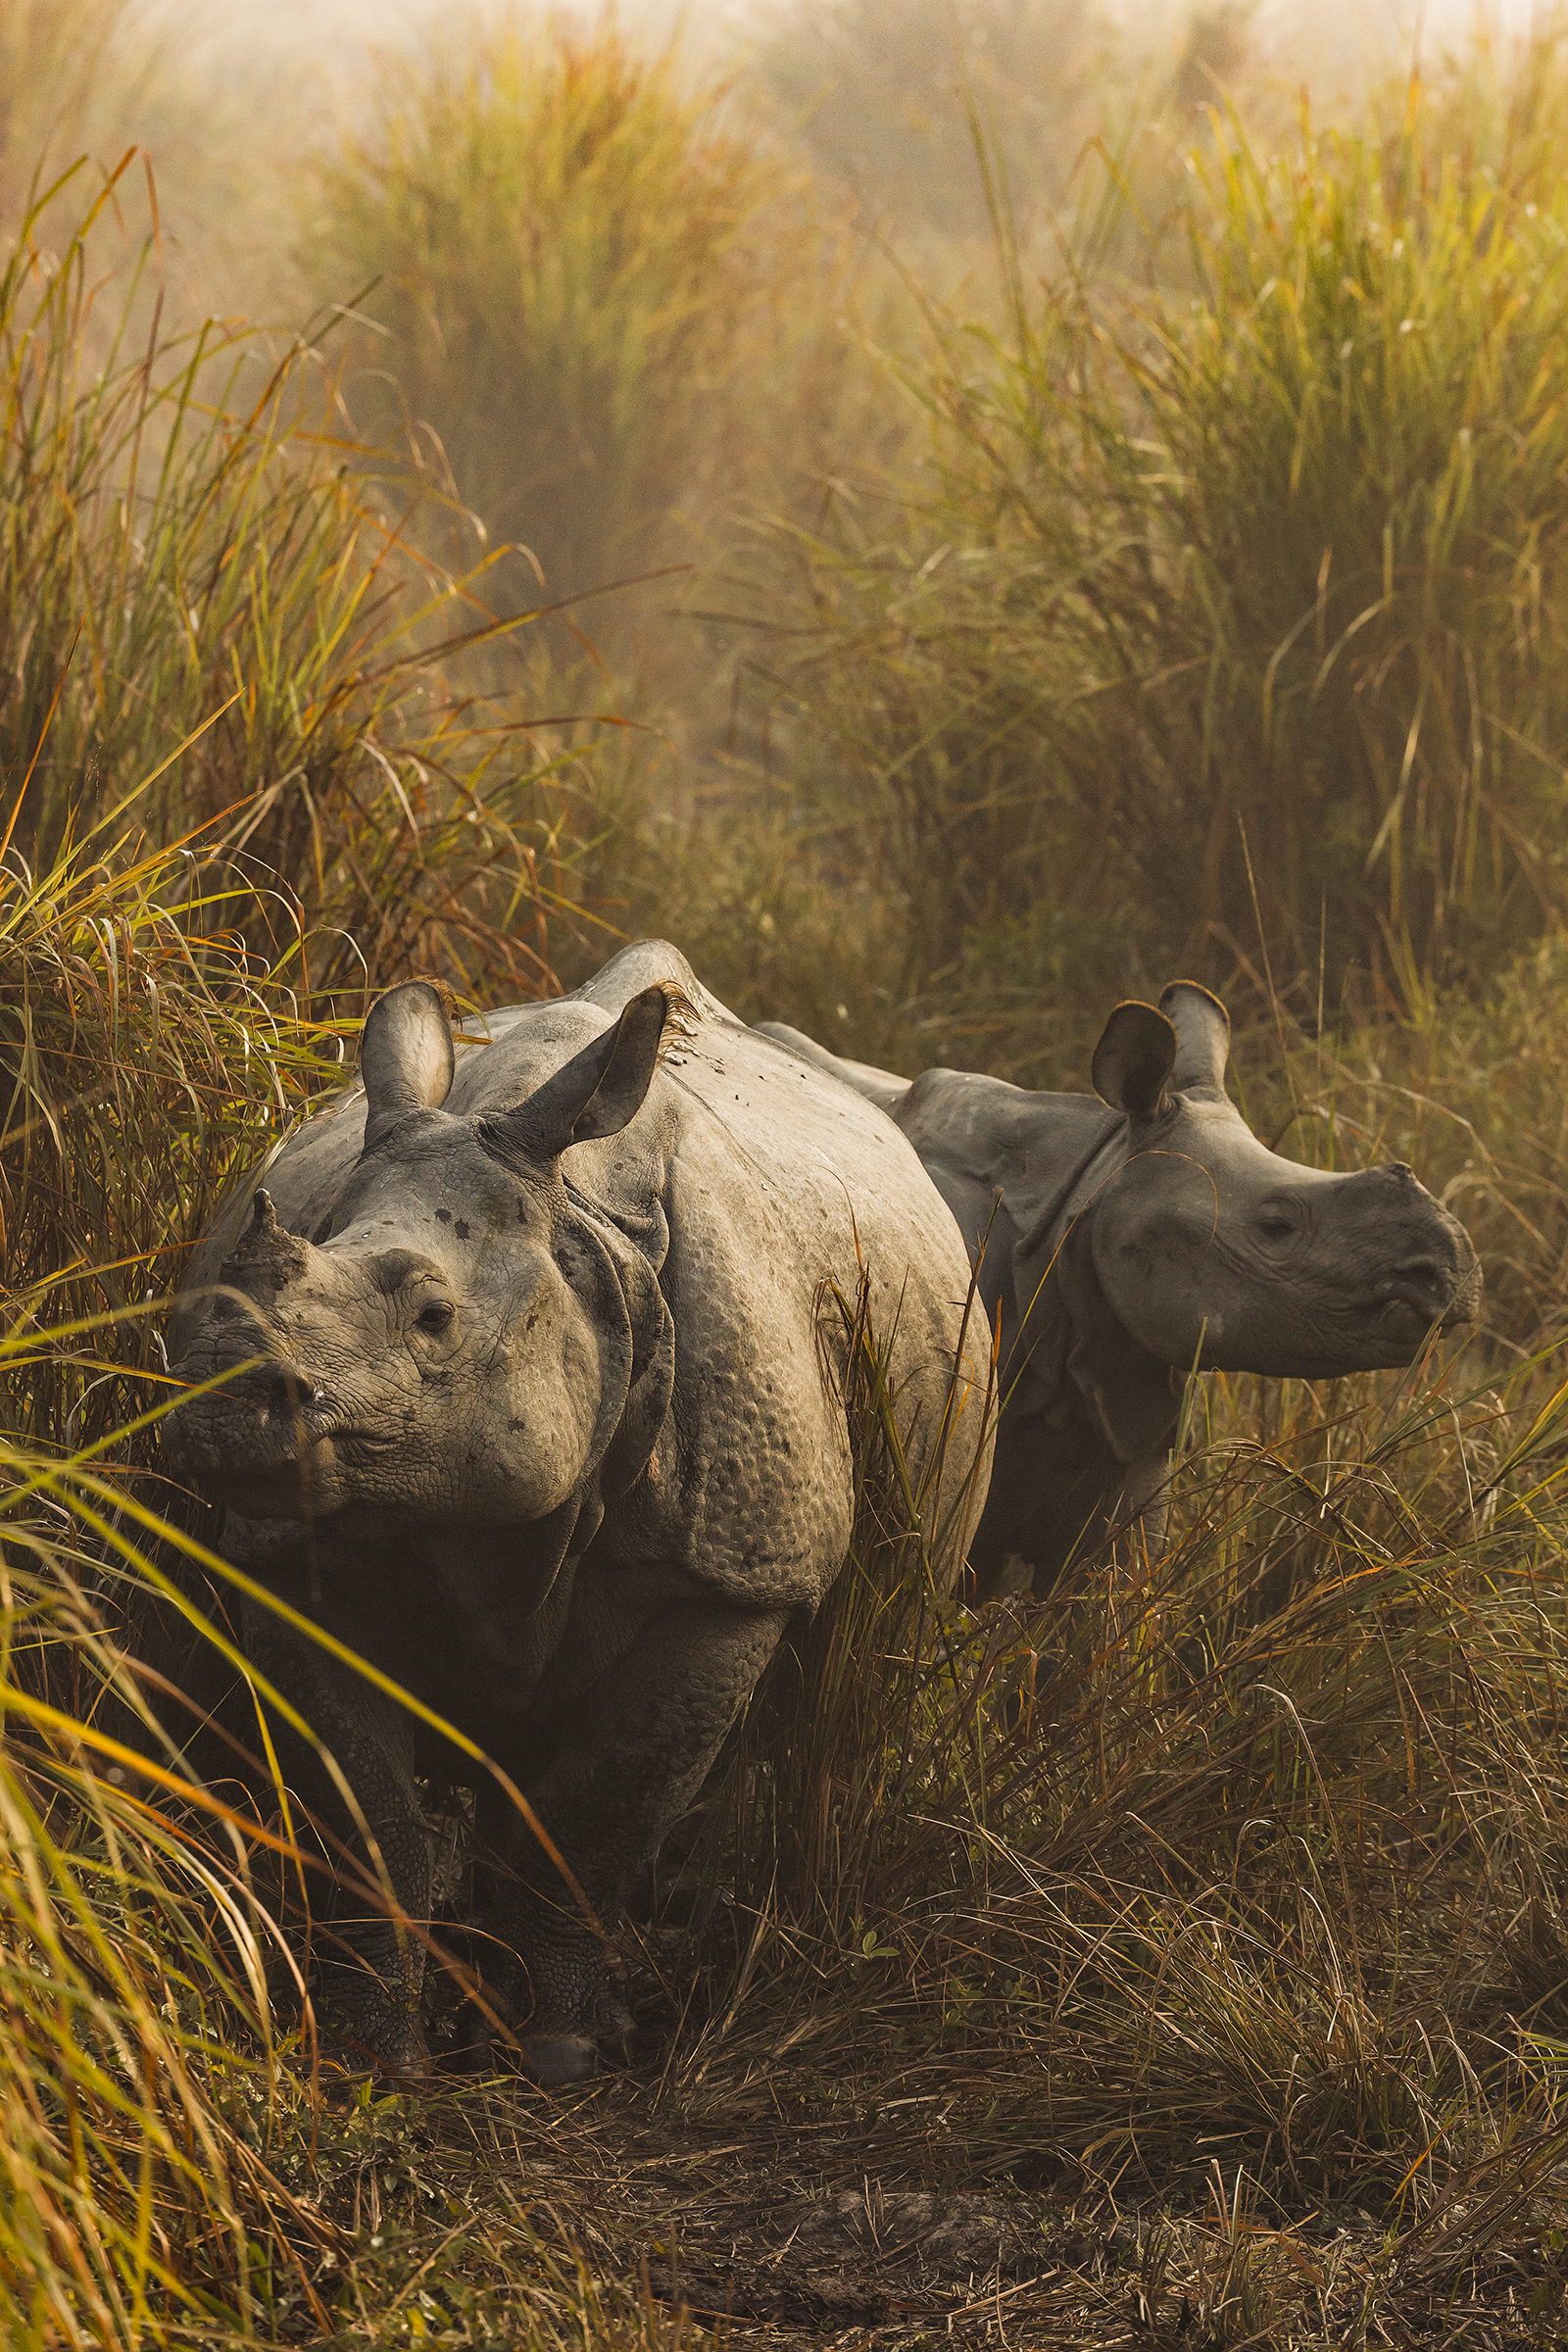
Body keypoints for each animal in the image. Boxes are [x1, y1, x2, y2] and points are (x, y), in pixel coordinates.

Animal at [165, 941, 988, 2085]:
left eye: (434, 1318)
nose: (220, 1402)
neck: (581, 1228)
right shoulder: (291, 1553)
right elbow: (368, 1819)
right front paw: (369, 2058)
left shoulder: (736, 1572)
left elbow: (605, 1806)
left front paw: (565, 2053)